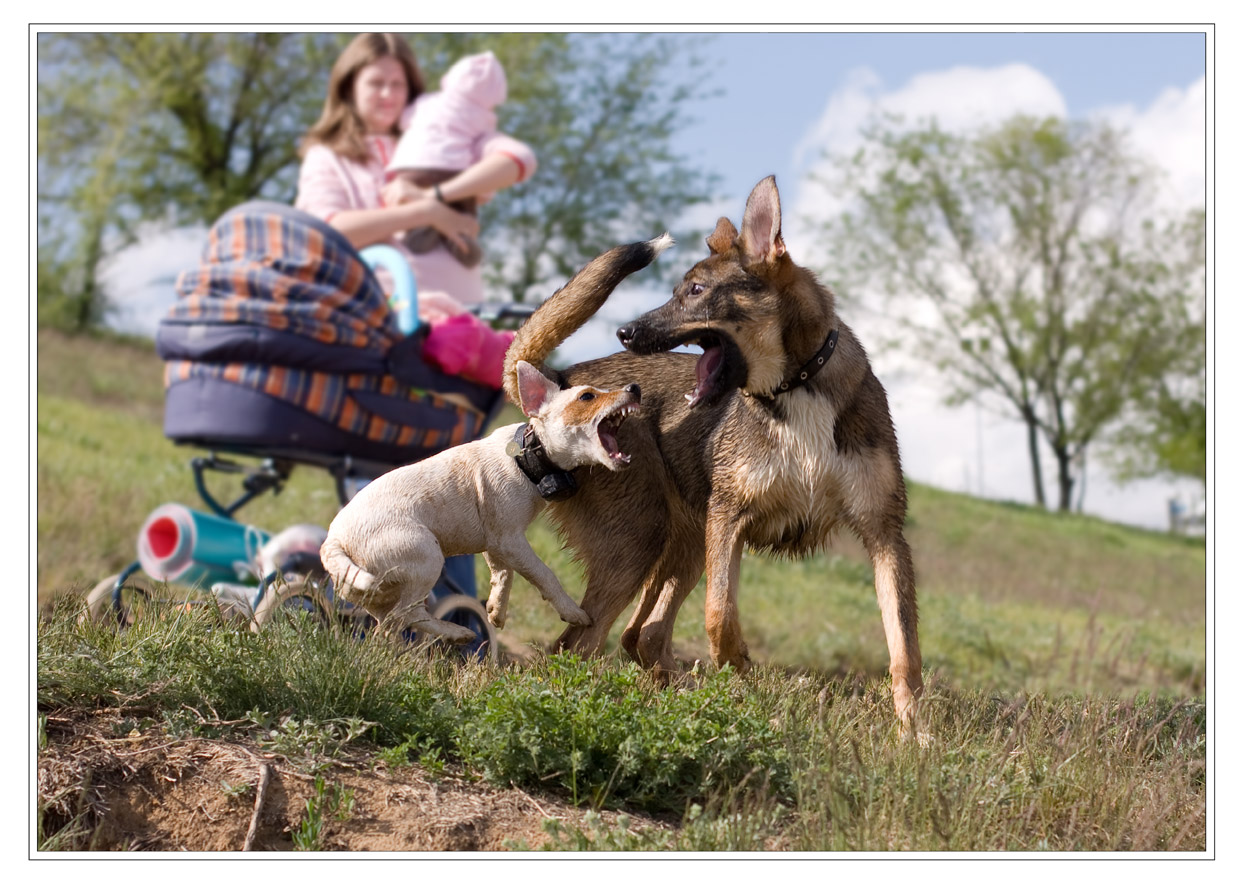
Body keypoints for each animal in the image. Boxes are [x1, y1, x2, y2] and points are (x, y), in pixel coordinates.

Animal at [322, 360, 640, 645]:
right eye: (587, 396)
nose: (635, 388)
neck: (529, 453)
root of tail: (333, 543)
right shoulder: (510, 540)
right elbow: (543, 574)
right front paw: (573, 612)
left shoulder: (497, 543)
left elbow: (503, 574)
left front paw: (496, 611)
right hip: (426, 556)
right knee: (410, 613)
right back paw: (457, 632)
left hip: (374, 596)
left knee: (388, 623)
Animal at [502, 176, 925, 730]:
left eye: (696, 292)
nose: (625, 331)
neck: (796, 389)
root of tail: (560, 382)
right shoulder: (729, 519)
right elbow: (719, 615)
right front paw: (741, 672)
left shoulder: (883, 534)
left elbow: (904, 649)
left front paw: (915, 734)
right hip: (643, 542)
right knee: (580, 645)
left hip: (679, 543)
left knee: (639, 636)